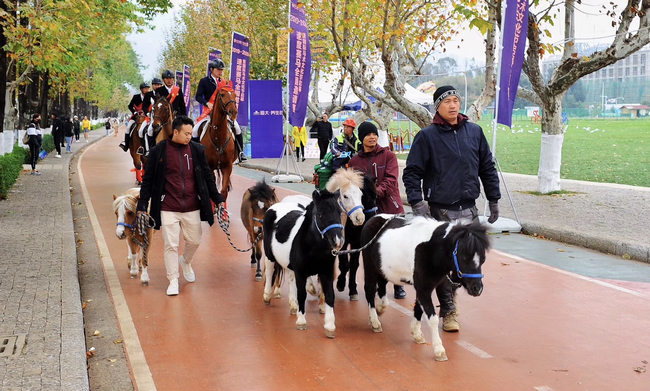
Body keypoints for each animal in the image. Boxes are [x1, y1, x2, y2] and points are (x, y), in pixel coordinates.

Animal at [262, 188, 346, 338]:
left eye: (340, 212)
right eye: (320, 214)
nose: (337, 241)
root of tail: (275, 206)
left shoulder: (326, 272)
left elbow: (330, 295)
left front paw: (330, 326)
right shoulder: (301, 273)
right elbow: (302, 293)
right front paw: (301, 321)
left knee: (290, 278)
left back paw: (293, 305)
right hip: (269, 255)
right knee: (270, 272)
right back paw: (267, 297)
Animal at [356, 214, 488, 362]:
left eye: (483, 258)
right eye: (464, 257)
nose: (477, 288)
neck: (431, 249)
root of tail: (374, 218)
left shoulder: (424, 288)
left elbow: (418, 309)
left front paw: (416, 333)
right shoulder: (423, 289)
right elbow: (432, 319)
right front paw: (439, 350)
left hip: (383, 269)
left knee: (382, 287)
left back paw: (380, 309)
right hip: (370, 267)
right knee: (370, 290)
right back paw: (375, 322)